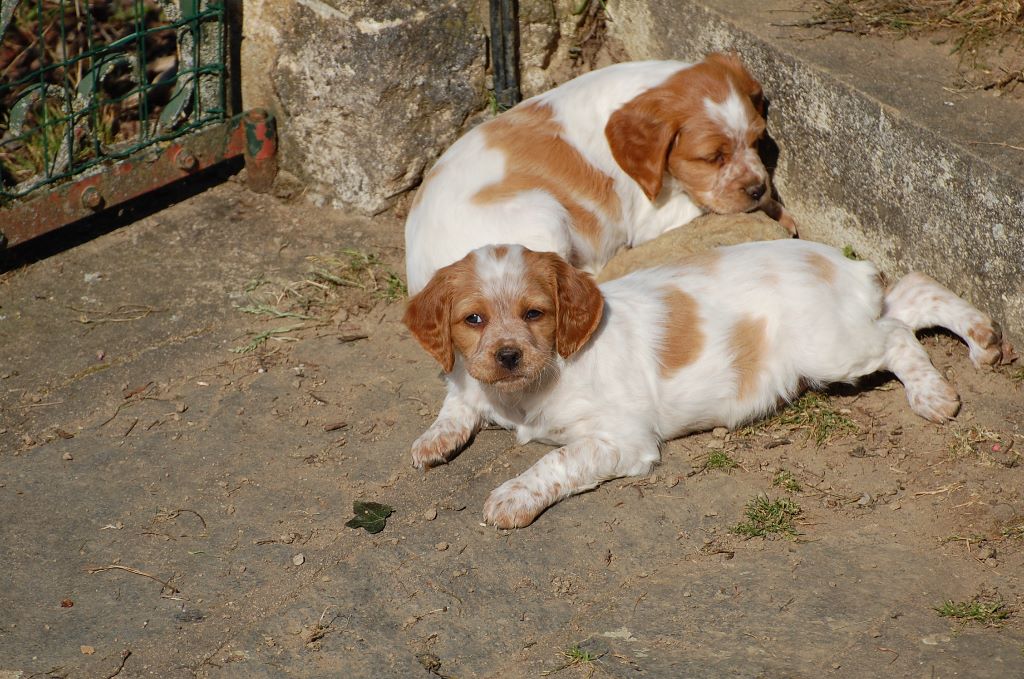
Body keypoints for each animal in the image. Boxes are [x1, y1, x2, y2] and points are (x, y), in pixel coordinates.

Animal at [403, 241, 1011, 529]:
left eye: (535, 314)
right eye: (473, 320)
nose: (507, 356)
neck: (527, 387)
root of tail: (842, 263)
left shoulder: (620, 440)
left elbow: (553, 460)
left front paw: (511, 497)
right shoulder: (473, 381)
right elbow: (458, 401)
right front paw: (433, 441)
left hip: (835, 351)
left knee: (899, 334)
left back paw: (933, 394)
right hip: (847, 332)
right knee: (912, 295)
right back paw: (983, 336)